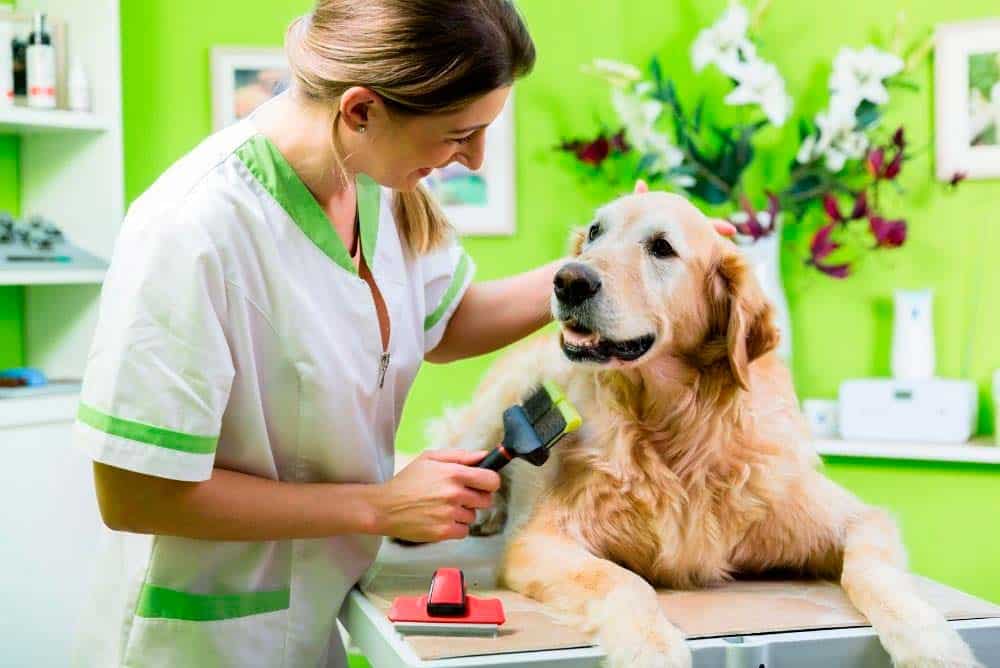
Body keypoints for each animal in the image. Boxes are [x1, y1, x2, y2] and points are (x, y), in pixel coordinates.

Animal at [426, 190, 980, 664]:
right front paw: (652, 649)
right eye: (596, 232)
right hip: (498, 414)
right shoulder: (542, 540)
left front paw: (931, 643)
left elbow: (877, 575)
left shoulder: (858, 518)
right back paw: (483, 508)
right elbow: (622, 582)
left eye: (662, 248)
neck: (678, 428)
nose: (567, 280)